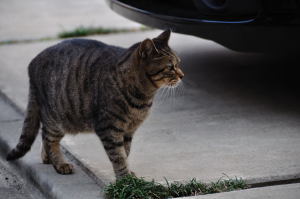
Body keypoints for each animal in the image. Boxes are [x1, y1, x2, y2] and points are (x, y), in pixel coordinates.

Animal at [7, 29, 184, 179]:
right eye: (170, 67)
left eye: (179, 63)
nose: (182, 75)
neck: (143, 96)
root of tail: (33, 62)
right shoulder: (109, 128)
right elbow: (118, 156)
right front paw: (125, 179)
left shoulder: (128, 131)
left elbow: (125, 152)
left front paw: (128, 173)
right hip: (56, 118)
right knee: (48, 138)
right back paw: (59, 163)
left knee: (45, 137)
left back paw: (47, 159)